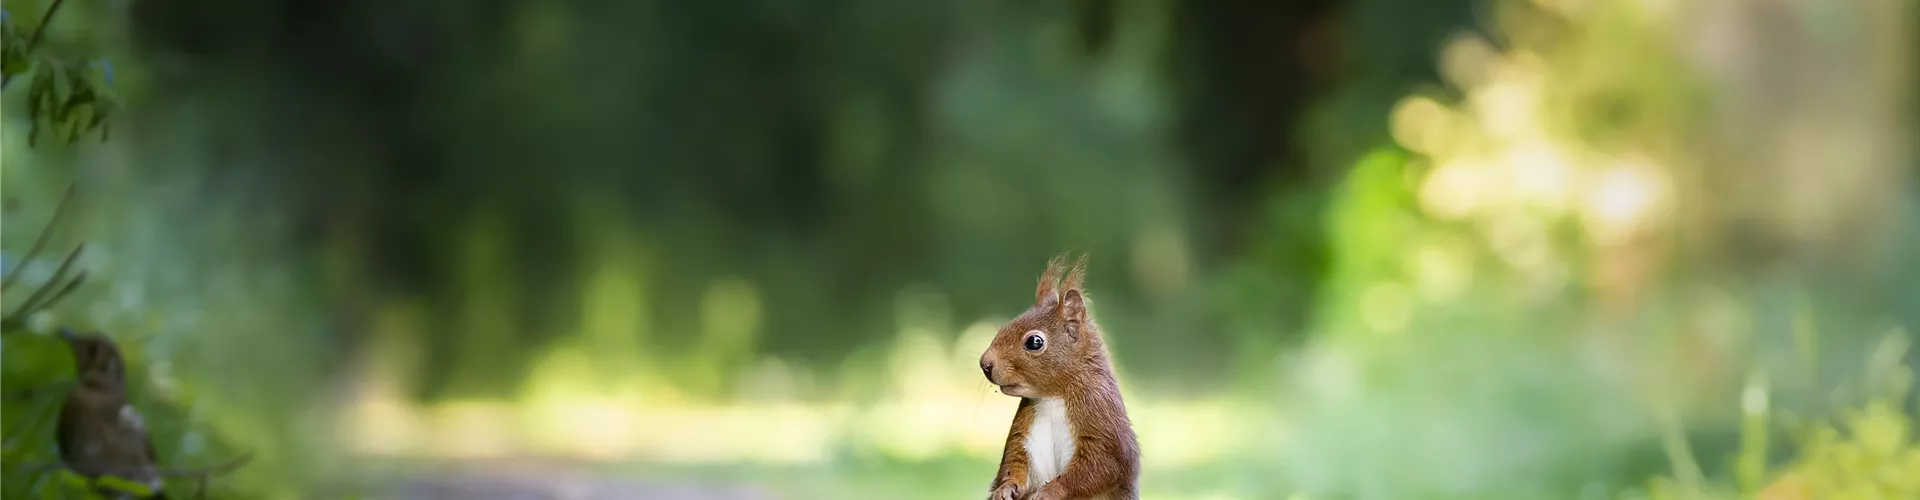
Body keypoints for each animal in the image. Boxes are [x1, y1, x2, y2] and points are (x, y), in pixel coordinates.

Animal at [978, 254, 1140, 500]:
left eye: (1034, 342)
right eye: (1005, 326)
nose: (985, 364)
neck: (1053, 397)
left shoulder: (1102, 417)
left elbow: (1099, 467)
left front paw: (1050, 491)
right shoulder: (1024, 435)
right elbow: (1016, 465)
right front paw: (1004, 488)